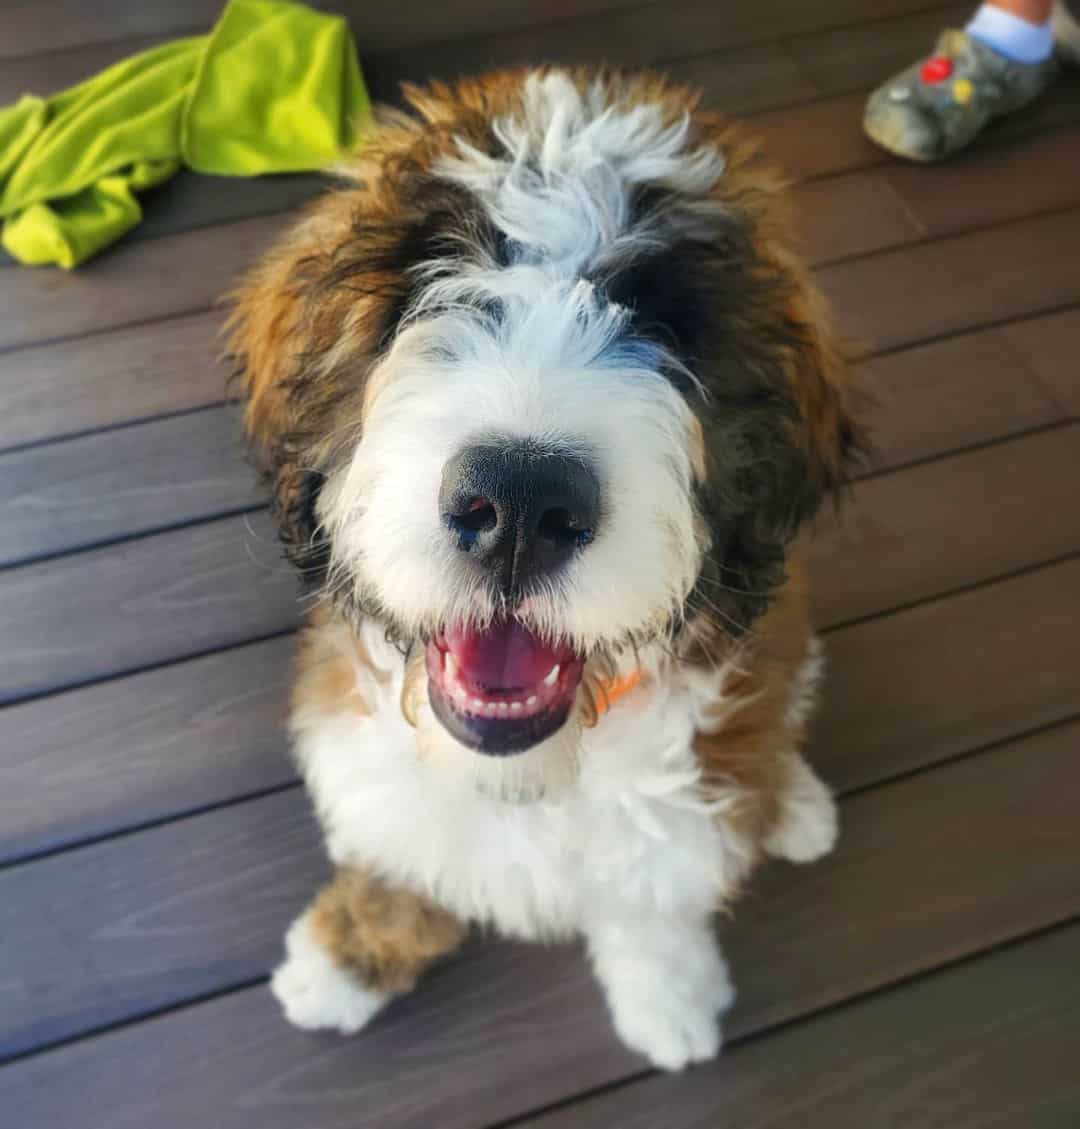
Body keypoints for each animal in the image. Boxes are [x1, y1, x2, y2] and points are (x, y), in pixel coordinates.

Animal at [227, 66, 857, 1070]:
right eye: (423, 291)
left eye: (668, 323)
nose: (519, 505)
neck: (527, 776)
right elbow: (397, 849)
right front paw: (349, 953)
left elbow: (656, 901)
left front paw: (668, 998)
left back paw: (794, 805)